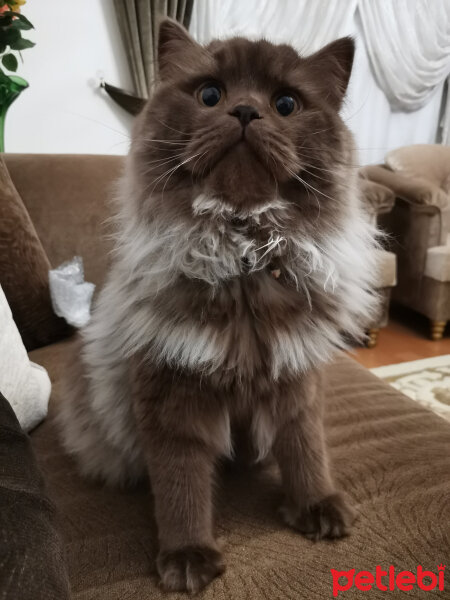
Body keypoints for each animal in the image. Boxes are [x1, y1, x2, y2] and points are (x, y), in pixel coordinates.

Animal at [57, 17, 380, 592]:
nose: (246, 111)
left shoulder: (296, 381)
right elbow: (181, 488)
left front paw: (316, 506)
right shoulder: (171, 397)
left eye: (286, 104)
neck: (244, 260)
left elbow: (306, 451)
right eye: (210, 95)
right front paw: (188, 556)